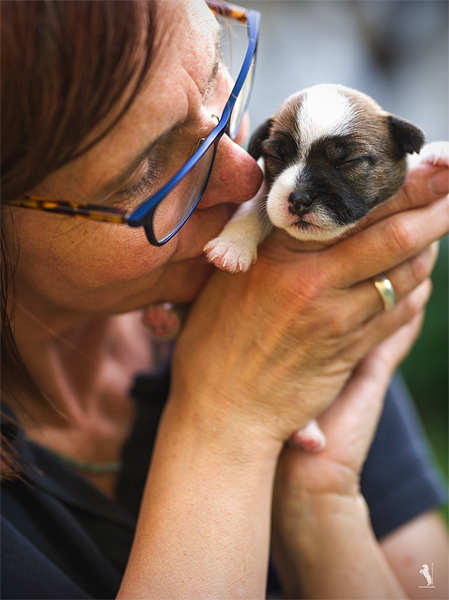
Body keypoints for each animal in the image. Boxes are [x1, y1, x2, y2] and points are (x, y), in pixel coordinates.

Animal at [205, 83, 446, 450]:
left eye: (348, 161)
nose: (299, 199)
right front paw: (232, 247)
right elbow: (257, 207)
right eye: (278, 156)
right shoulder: (270, 194)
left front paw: (439, 152)